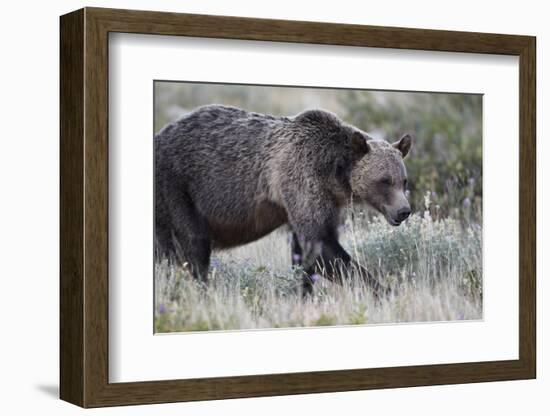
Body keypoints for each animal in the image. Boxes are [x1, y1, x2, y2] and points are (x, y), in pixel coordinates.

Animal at [155, 105, 414, 298]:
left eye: (403, 181)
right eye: (384, 181)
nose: (404, 211)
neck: (334, 173)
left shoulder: (323, 201)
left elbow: (305, 253)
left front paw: (304, 293)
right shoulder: (301, 178)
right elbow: (320, 245)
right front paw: (387, 291)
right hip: (177, 190)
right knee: (193, 246)